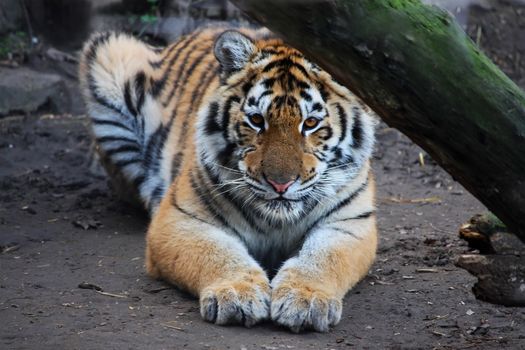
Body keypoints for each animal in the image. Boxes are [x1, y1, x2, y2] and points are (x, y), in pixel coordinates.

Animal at [79, 26, 376, 332]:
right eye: (256, 120)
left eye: (311, 123)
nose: (280, 184)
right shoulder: (181, 217)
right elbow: (217, 254)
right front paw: (237, 294)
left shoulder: (349, 223)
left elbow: (324, 259)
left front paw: (305, 300)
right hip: (109, 54)